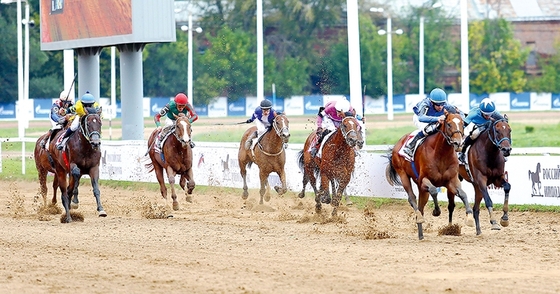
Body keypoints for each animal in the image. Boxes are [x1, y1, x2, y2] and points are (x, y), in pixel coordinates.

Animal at [384, 109, 472, 240]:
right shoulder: (423, 180)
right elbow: (434, 191)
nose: (458, 143)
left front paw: (470, 218)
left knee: (421, 206)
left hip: (420, 188)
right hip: (403, 174)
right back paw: (420, 220)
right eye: (449, 124)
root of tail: (398, 143)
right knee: (413, 198)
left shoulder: (451, 180)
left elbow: (463, 194)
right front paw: (436, 211)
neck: (441, 154)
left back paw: (420, 233)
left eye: (463, 124)